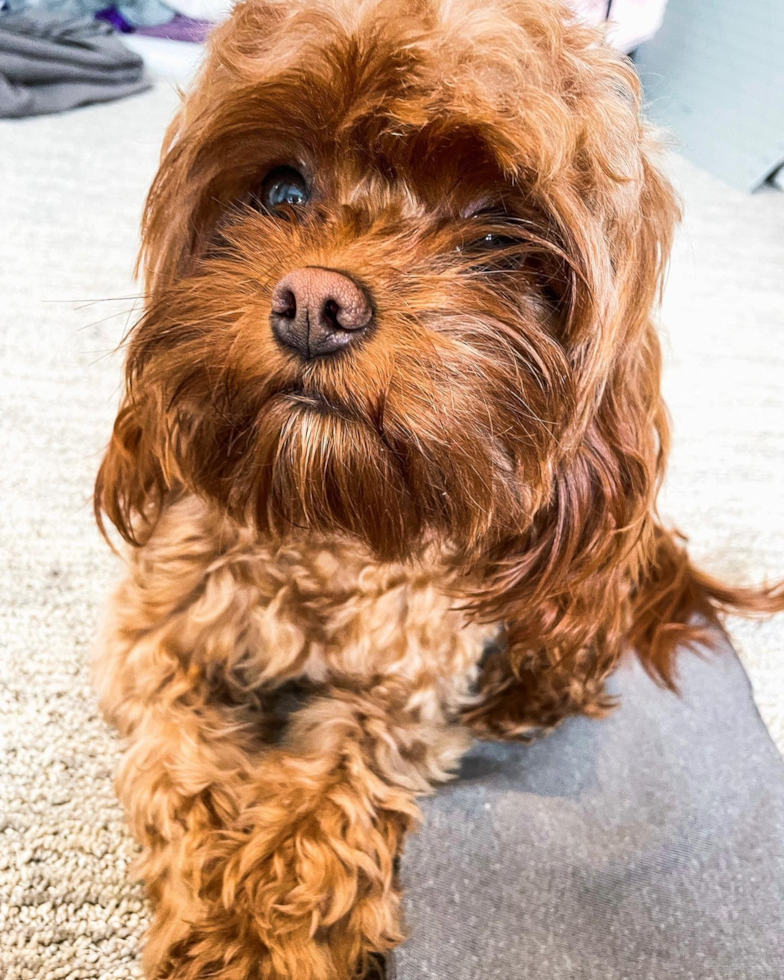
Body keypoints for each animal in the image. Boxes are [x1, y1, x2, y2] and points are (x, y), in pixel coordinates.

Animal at [93, 0, 784, 976]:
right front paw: (216, 913)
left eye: (494, 235)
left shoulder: (407, 693)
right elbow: (180, 767)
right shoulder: (154, 639)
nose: (316, 302)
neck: (330, 520)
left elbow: (331, 796)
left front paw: (270, 933)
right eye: (283, 190)